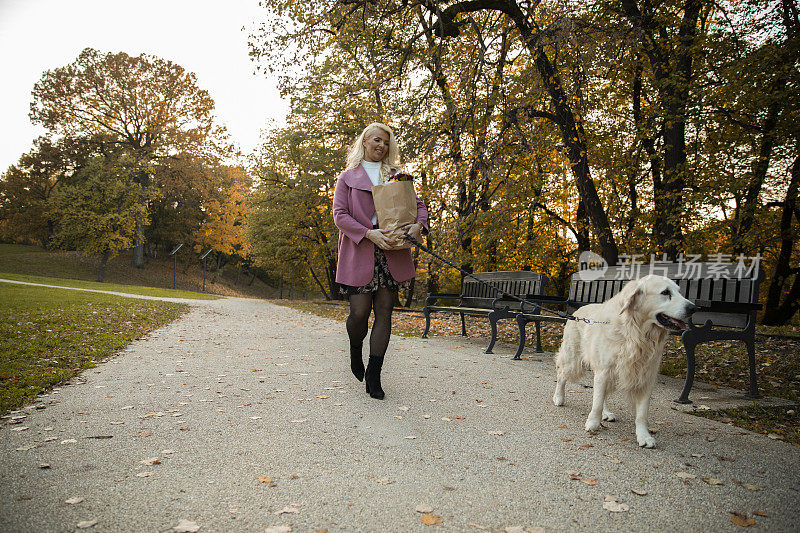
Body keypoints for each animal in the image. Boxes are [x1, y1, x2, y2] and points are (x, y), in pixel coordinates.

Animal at [552, 276, 696, 446]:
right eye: (665, 292)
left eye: (679, 291)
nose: (693, 308)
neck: (636, 332)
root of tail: (576, 312)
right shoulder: (605, 370)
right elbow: (597, 402)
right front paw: (593, 423)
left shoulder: (646, 376)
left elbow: (641, 413)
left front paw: (644, 436)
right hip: (573, 359)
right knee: (562, 375)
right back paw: (559, 397)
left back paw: (606, 412)